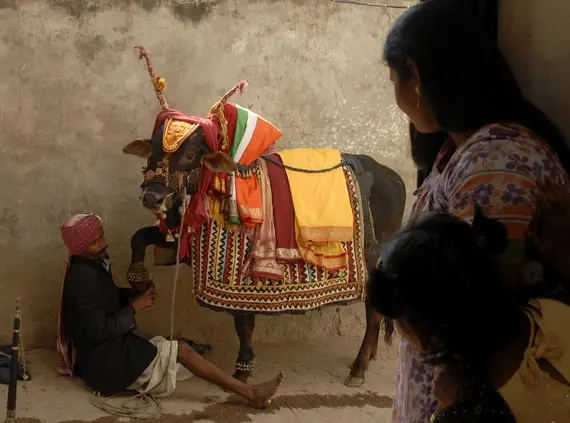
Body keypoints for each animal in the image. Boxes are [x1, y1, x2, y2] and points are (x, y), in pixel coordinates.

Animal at [122, 47, 406, 388]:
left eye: (190, 154)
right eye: (152, 150)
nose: (152, 196)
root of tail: (394, 177)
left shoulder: (239, 275)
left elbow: (244, 322)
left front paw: (243, 368)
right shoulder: (182, 242)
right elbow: (138, 238)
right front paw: (139, 280)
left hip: (373, 258)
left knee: (374, 312)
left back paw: (359, 367)